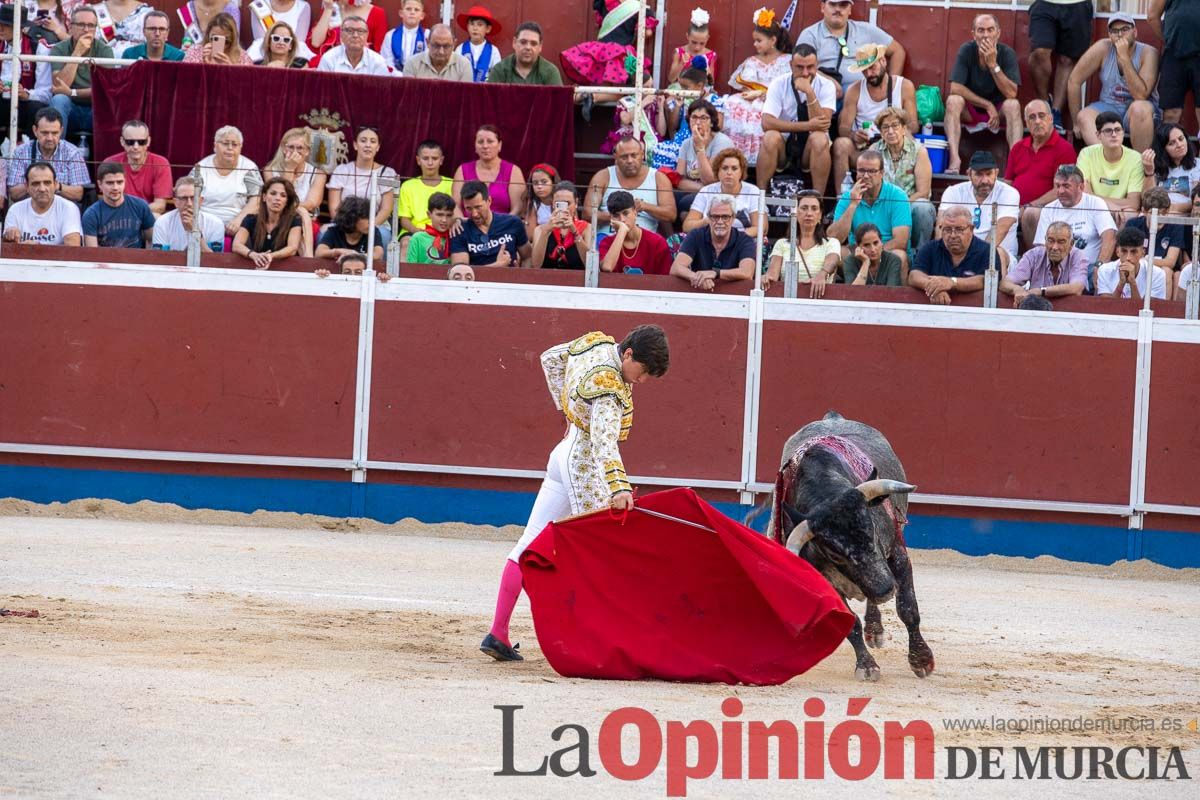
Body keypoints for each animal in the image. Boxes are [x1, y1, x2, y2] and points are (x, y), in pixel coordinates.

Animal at [763, 412, 931, 681]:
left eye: (871, 526)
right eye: (834, 553)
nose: (885, 589)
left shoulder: (897, 556)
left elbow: (908, 609)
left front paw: (921, 659)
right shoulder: (824, 578)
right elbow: (851, 623)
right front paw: (866, 665)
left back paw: (875, 628)